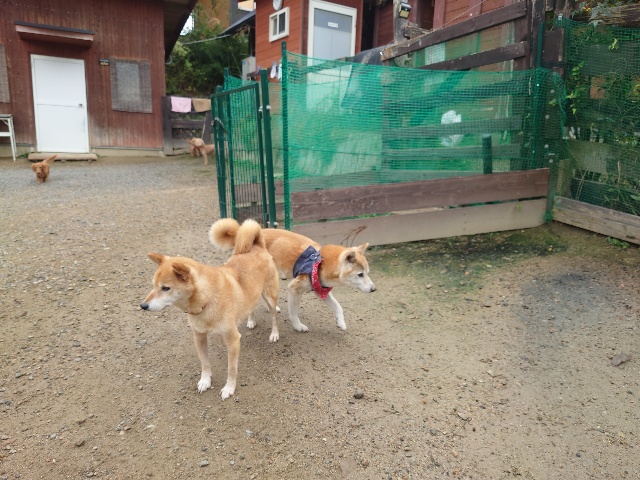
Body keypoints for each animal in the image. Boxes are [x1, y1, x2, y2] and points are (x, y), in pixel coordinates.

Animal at [140, 218, 280, 399]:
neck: (207, 300)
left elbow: (231, 369)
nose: (143, 306)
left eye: (165, 288)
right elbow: (205, 363)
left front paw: (229, 388)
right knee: (251, 305)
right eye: (153, 285)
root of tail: (258, 245)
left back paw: (274, 334)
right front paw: (205, 381)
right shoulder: (199, 336)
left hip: (269, 296)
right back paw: (250, 321)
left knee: (274, 316)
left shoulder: (233, 340)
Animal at [214, 226, 375, 332]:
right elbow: (293, 312)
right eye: (360, 274)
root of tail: (244, 234)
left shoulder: (319, 289)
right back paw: (251, 321)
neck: (321, 263)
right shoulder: (294, 289)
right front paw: (298, 327)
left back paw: (272, 308)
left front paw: (341, 323)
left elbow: (338, 306)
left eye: (367, 272)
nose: (374, 289)